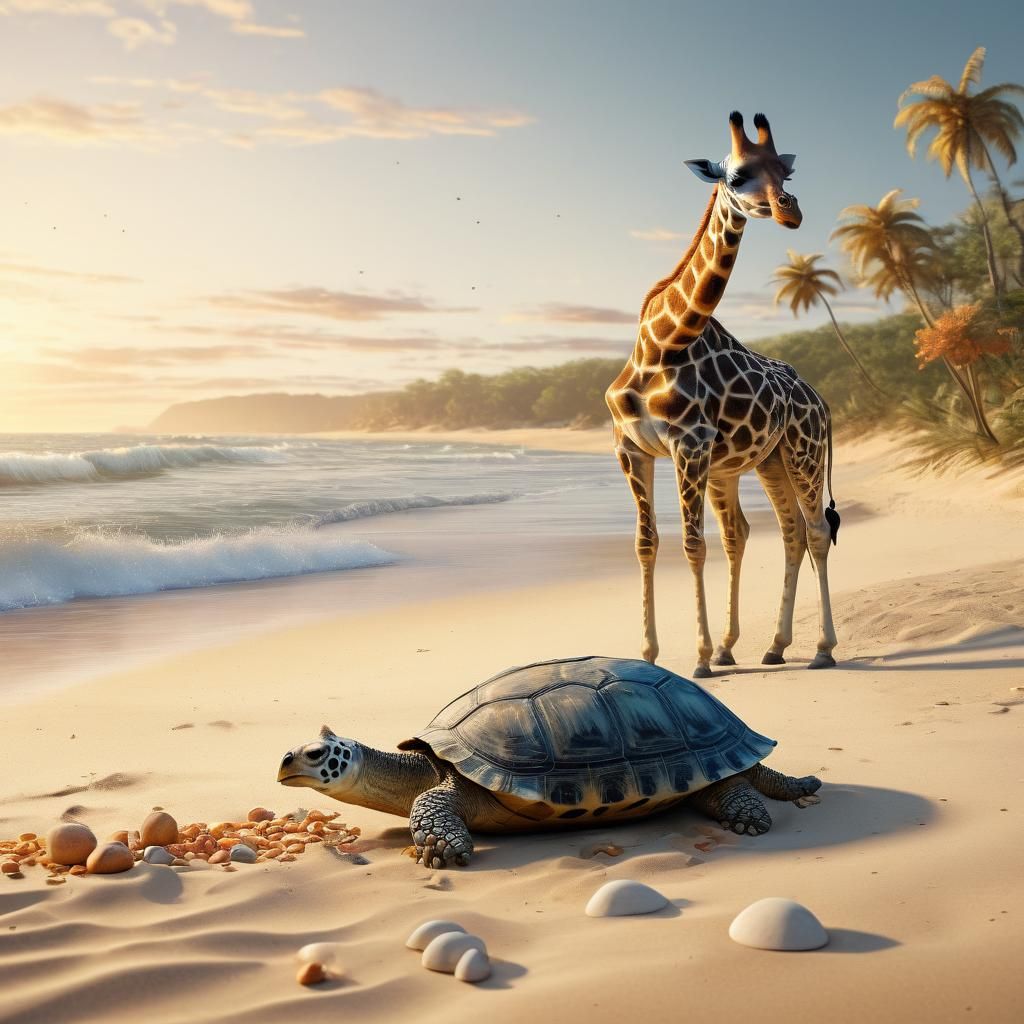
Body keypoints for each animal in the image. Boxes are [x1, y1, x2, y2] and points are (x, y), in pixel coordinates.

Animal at [606, 111, 840, 679]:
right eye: (736, 175)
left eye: (786, 172)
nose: (790, 210)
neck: (662, 343)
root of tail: (822, 402)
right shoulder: (631, 448)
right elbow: (646, 544)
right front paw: (651, 652)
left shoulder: (689, 444)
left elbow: (693, 546)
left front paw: (700, 656)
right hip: (761, 462)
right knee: (775, 532)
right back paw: (767, 646)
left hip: (803, 453)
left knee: (815, 531)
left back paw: (822, 648)